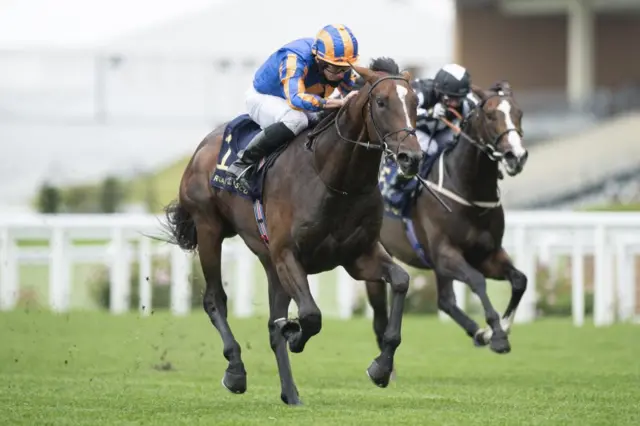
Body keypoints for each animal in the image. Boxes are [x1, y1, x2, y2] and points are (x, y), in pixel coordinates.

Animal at [162, 57, 422, 406]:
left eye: (415, 102)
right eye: (381, 102)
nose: (412, 157)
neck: (334, 179)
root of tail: (202, 147)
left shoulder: (358, 256)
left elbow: (402, 281)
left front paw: (381, 368)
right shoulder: (288, 254)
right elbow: (311, 315)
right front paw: (296, 335)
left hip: (269, 262)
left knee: (272, 326)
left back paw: (290, 393)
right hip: (209, 230)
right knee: (215, 299)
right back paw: (236, 370)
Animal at [370, 81, 528, 354]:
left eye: (519, 113)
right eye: (490, 115)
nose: (515, 156)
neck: (470, 193)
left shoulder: (487, 255)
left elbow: (519, 280)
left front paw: (499, 329)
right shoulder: (445, 255)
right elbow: (476, 281)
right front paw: (496, 333)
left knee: (445, 301)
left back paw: (478, 333)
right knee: (380, 308)